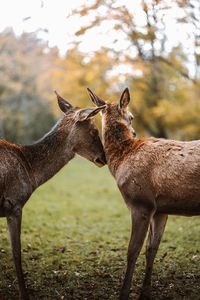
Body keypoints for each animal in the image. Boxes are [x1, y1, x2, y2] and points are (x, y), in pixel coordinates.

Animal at [0, 92, 106, 300]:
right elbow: (16, 252)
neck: (30, 171)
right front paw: (24, 294)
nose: (103, 158)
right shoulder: (15, 204)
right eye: (94, 131)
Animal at [87, 87, 200, 300]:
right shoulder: (160, 209)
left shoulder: (141, 202)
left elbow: (132, 250)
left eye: (131, 116)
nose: (134, 131)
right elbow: (151, 249)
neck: (123, 157)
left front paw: (124, 293)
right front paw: (145, 292)